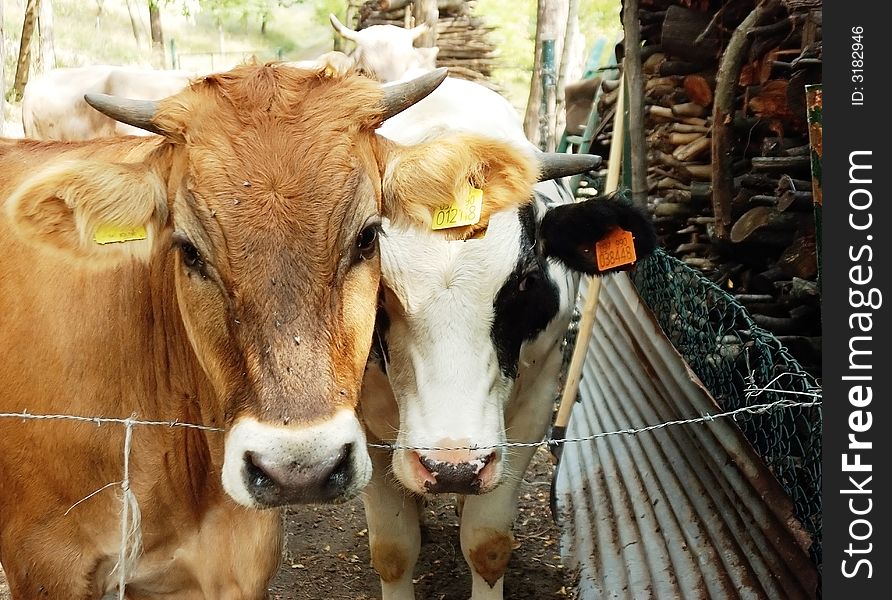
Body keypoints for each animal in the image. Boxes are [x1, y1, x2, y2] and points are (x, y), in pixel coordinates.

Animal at [358, 75, 660, 600]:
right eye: (380, 288)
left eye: (525, 282)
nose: (453, 467)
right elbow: (393, 550)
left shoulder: (534, 407)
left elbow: (487, 542)